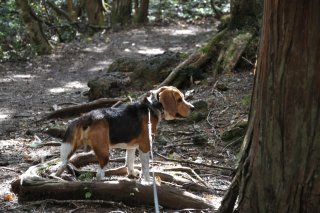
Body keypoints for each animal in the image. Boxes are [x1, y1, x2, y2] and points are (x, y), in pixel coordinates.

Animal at [55, 86, 194, 181]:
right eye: (179, 100)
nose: (193, 108)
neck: (152, 106)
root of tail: (88, 116)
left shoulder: (131, 147)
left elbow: (130, 161)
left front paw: (132, 174)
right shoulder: (145, 146)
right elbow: (145, 167)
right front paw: (148, 180)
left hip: (71, 147)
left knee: (63, 163)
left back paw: (57, 176)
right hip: (104, 152)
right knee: (99, 174)